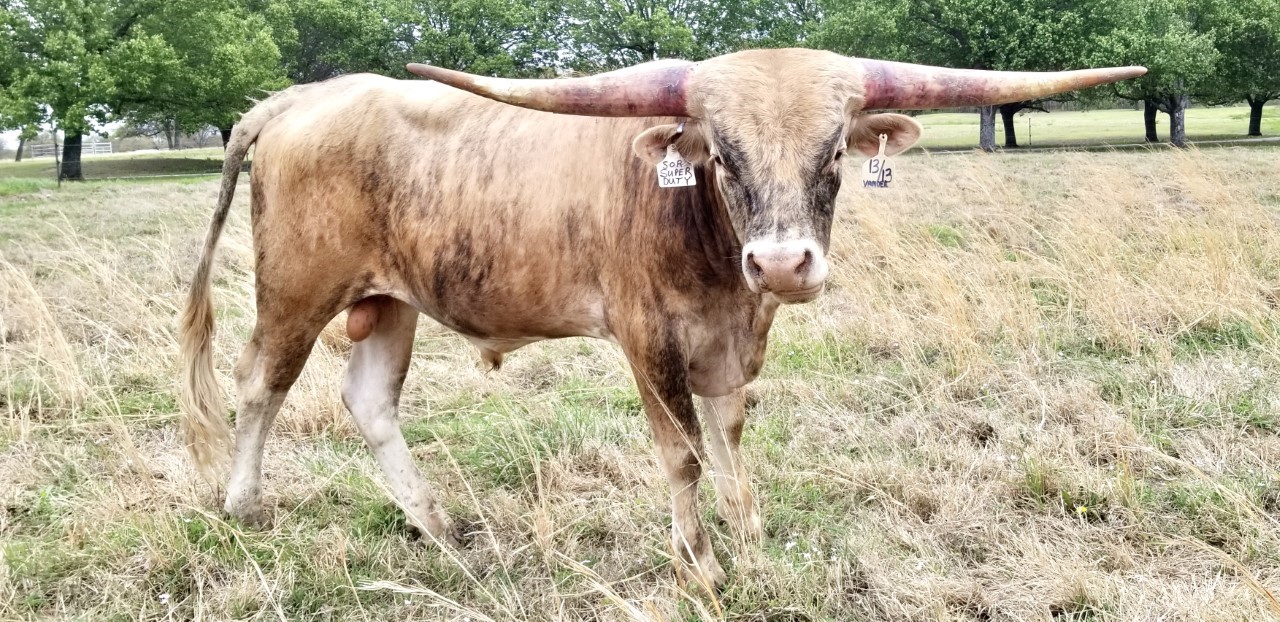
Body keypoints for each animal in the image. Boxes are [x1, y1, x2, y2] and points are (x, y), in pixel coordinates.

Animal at [179, 48, 1144, 589]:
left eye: (835, 150)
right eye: (721, 153)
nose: (782, 264)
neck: (721, 266)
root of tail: (301, 98)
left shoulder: (729, 342)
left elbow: (729, 435)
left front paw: (752, 537)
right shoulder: (649, 342)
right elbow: (681, 455)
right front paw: (703, 565)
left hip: (388, 302)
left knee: (369, 400)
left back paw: (439, 526)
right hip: (297, 289)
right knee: (259, 383)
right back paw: (243, 505)